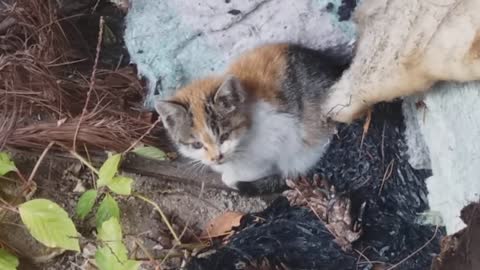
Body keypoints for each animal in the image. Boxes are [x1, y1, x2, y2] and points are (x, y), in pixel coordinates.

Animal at [156, 43, 350, 193]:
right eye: (197, 144)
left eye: (224, 135)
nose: (216, 157)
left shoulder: (283, 132)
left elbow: (266, 164)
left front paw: (233, 176)